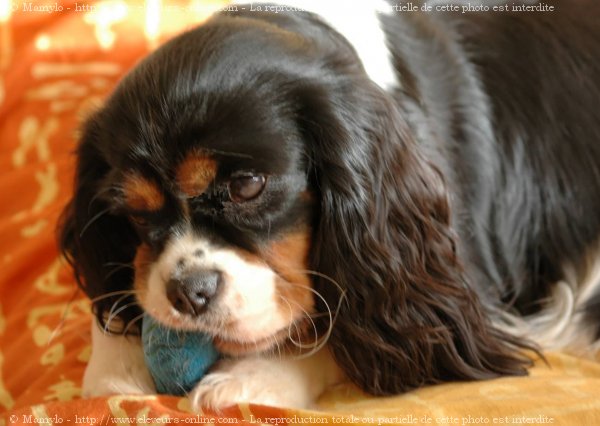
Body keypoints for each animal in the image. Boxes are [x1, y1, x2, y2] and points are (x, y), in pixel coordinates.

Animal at [59, 0, 600, 412]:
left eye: (248, 187)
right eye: (133, 212)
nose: (188, 292)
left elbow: (363, 322)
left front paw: (253, 378)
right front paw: (117, 363)